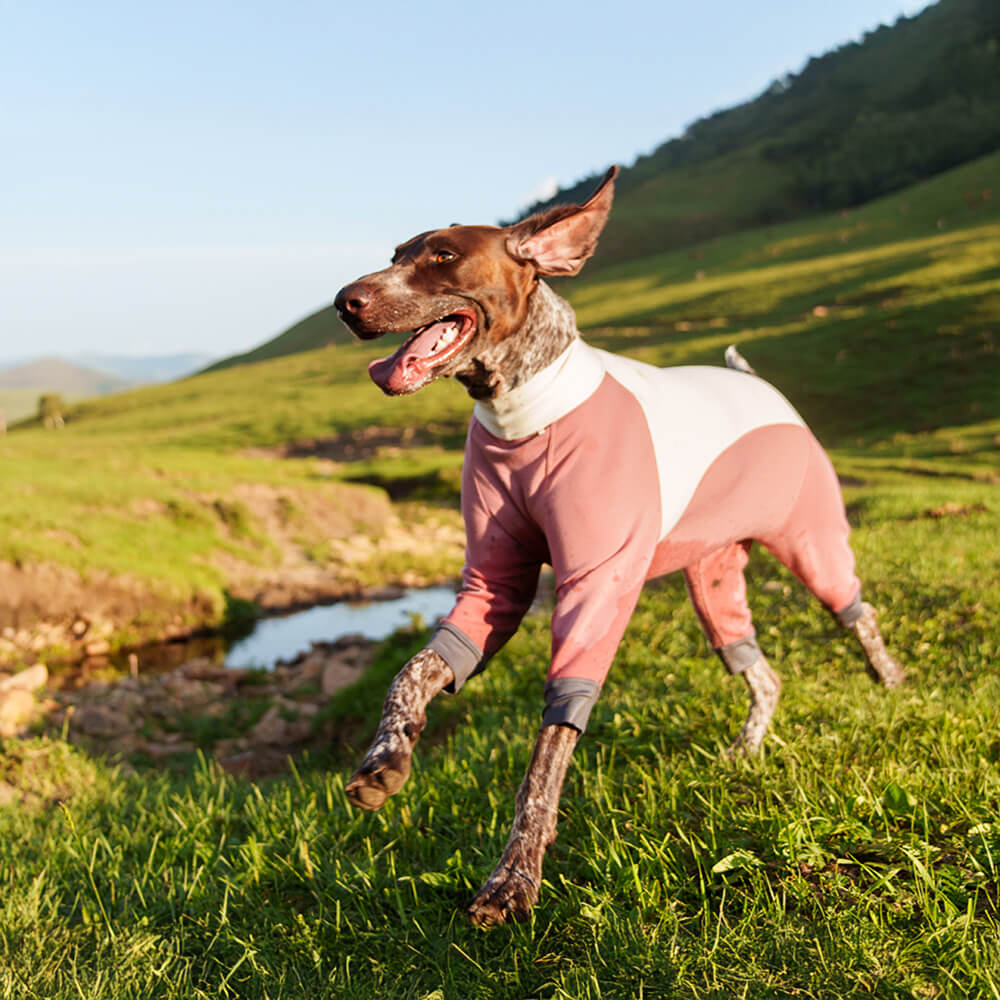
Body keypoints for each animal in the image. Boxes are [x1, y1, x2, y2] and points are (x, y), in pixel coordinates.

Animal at [332, 168, 904, 924]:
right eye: (396, 253)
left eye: (444, 257)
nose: (345, 301)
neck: (523, 413)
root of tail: (760, 385)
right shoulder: (494, 583)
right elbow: (416, 671)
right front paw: (386, 756)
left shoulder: (596, 586)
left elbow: (549, 749)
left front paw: (514, 877)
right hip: (712, 581)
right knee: (761, 671)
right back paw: (746, 747)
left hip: (812, 544)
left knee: (859, 615)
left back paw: (894, 687)